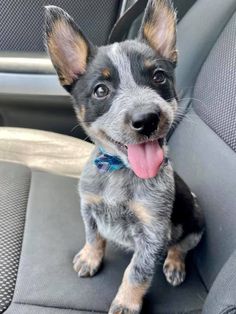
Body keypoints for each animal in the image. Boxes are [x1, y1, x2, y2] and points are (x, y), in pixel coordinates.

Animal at [45, 1, 204, 312]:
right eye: (101, 90)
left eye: (158, 76)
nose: (147, 119)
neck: (119, 172)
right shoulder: (88, 206)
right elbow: (93, 236)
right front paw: (90, 257)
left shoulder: (153, 233)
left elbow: (137, 272)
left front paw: (126, 303)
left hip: (194, 222)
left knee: (180, 246)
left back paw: (175, 263)